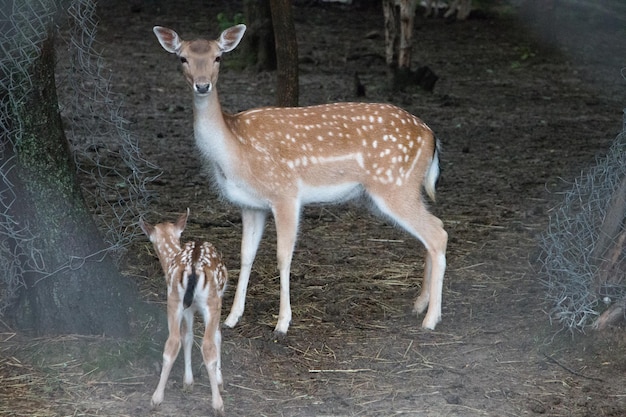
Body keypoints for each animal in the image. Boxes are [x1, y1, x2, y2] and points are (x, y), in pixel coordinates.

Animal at [140, 213, 228, 414]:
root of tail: (193, 266)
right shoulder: (215, 302)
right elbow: (217, 336)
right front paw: (219, 382)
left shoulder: (187, 307)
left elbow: (187, 336)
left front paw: (188, 381)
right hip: (212, 301)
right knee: (208, 346)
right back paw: (218, 405)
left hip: (173, 300)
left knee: (172, 342)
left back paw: (156, 399)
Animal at [152, 24, 446, 334]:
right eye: (182, 58)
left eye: (218, 57)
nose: (202, 85)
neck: (235, 149)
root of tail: (431, 136)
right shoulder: (250, 204)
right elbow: (246, 256)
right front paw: (232, 318)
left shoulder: (286, 194)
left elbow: (283, 257)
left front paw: (282, 322)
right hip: (401, 188)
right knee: (433, 231)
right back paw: (419, 305)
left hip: (395, 184)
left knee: (437, 234)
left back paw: (431, 319)